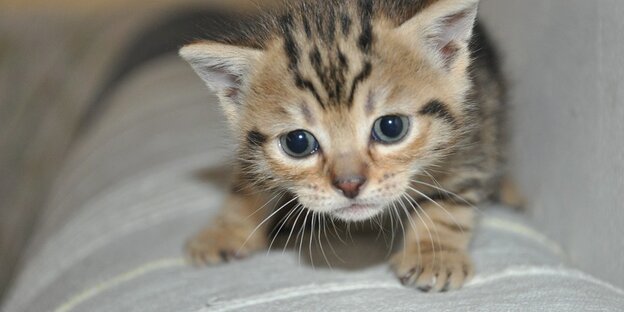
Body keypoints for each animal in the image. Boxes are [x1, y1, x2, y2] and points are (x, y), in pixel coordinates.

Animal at [178, 0, 504, 292]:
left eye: (391, 127)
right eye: (297, 143)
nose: (349, 185)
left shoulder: (475, 129)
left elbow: (450, 197)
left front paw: (435, 254)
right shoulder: (252, 149)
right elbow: (246, 181)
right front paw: (226, 230)